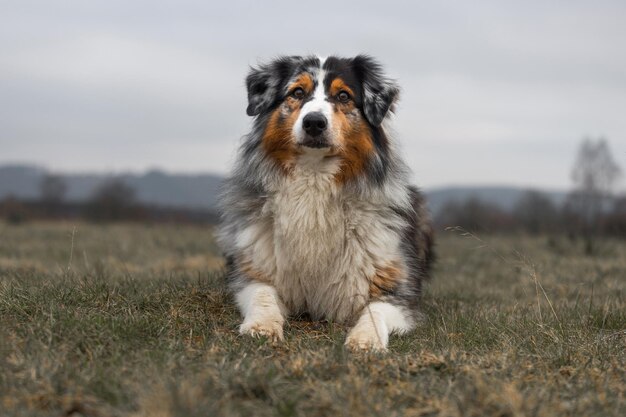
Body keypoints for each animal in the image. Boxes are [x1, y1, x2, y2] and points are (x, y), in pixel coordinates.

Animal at [217, 53, 432, 350]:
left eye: (343, 96)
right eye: (297, 92)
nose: (314, 122)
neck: (315, 178)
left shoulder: (397, 291)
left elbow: (375, 311)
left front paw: (365, 339)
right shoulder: (253, 272)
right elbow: (263, 295)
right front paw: (261, 326)